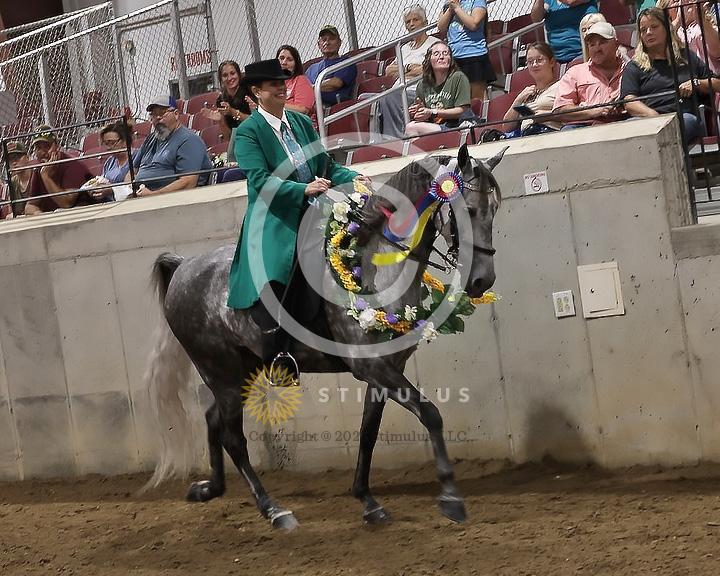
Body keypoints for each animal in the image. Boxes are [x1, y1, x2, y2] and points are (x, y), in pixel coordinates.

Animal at [144, 143, 505, 531]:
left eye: (494, 210)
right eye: (469, 210)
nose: (482, 281)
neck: (374, 267)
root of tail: (184, 267)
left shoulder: (384, 370)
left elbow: (368, 432)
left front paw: (367, 500)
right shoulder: (373, 368)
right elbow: (431, 414)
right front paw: (451, 498)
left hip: (241, 368)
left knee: (213, 419)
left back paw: (211, 488)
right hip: (219, 370)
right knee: (232, 436)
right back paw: (274, 510)